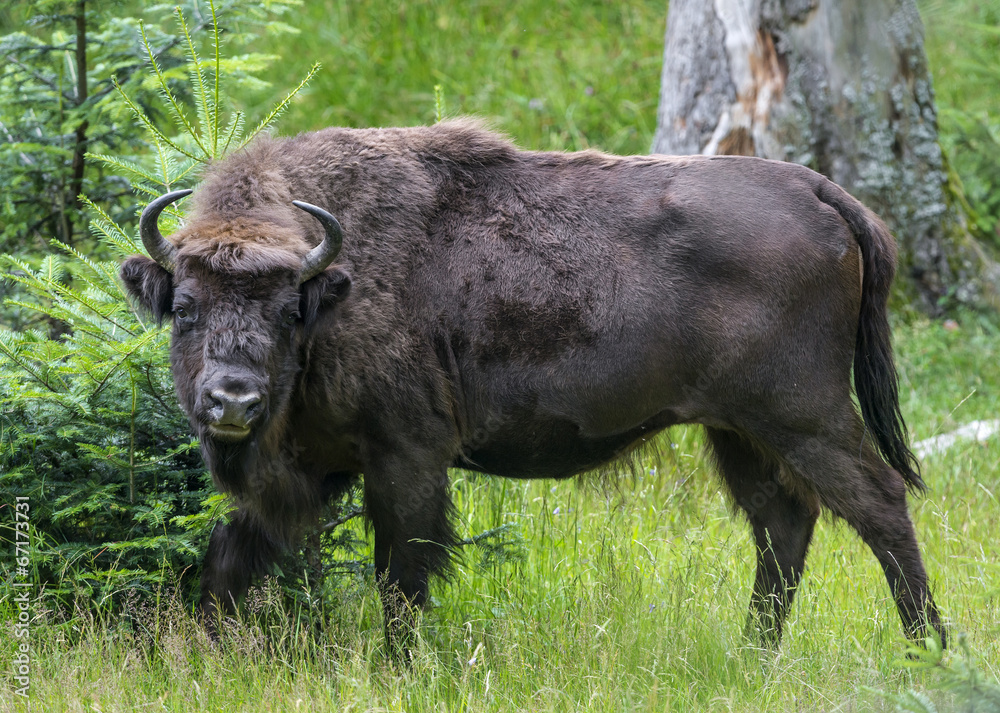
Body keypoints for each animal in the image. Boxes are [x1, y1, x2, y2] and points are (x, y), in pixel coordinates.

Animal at [119, 119, 945, 656]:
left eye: (288, 308)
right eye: (184, 307)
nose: (233, 401)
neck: (335, 281)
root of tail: (819, 190)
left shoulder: (404, 456)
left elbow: (401, 574)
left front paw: (400, 666)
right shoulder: (314, 468)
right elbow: (231, 555)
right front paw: (203, 653)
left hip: (802, 416)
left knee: (876, 503)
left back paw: (927, 648)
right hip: (737, 430)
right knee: (784, 520)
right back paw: (753, 655)